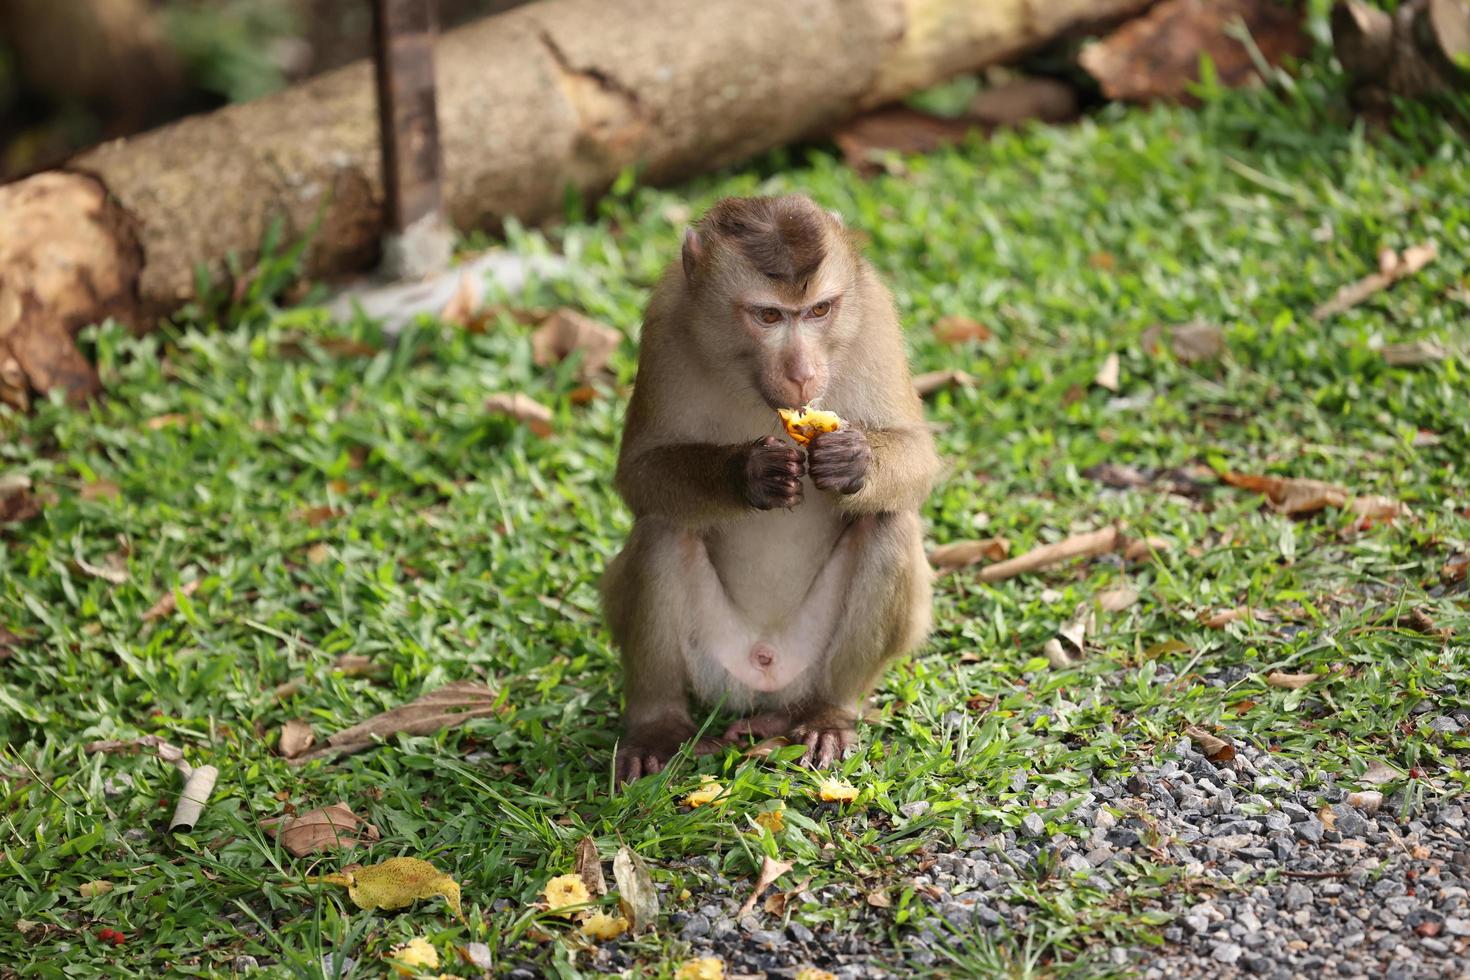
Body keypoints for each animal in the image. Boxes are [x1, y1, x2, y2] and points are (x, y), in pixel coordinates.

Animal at [599, 195, 934, 787]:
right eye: (769, 316)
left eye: (819, 311)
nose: (801, 374)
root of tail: (766, 675)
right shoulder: (665, 323)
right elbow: (640, 474)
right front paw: (750, 472)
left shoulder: (873, 314)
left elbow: (919, 457)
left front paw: (853, 461)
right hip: (714, 661)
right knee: (664, 526)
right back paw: (658, 724)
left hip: (809, 660)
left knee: (888, 520)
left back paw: (827, 714)